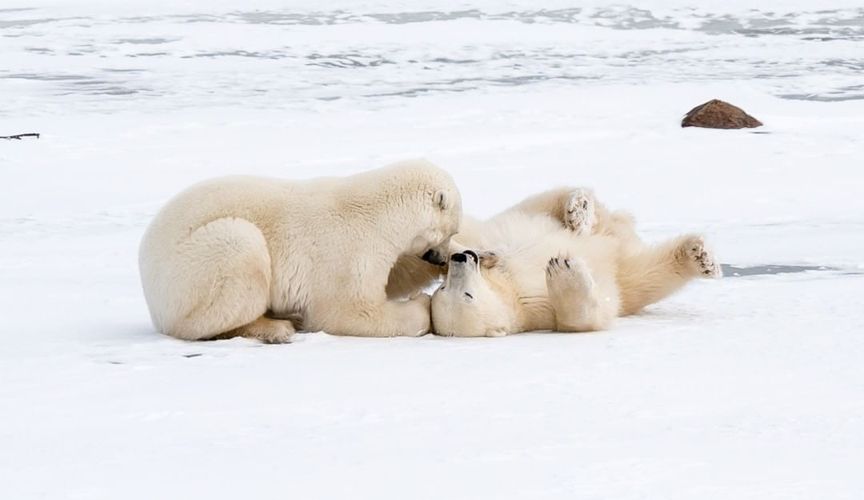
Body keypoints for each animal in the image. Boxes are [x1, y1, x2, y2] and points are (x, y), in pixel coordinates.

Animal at [139, 160, 462, 344]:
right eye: (450, 231)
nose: (440, 257)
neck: (379, 212)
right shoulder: (346, 252)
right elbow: (348, 310)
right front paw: (421, 305)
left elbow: (397, 273)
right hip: (190, 267)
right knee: (239, 251)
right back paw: (276, 327)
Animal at [432, 189, 724, 338]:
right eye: (464, 295)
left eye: (442, 287)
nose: (462, 258)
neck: (508, 286)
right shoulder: (535, 307)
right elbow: (584, 318)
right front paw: (563, 269)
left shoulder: (485, 240)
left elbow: (462, 235)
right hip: (625, 271)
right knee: (649, 274)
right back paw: (700, 257)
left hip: (531, 215)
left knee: (544, 202)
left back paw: (579, 211)